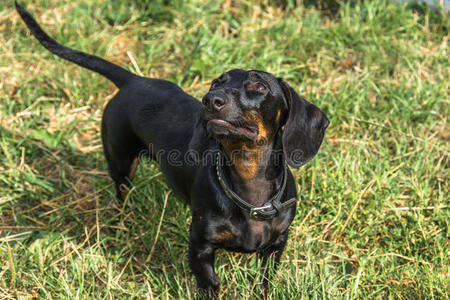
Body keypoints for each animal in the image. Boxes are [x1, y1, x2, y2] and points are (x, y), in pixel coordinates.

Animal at [15, 1, 328, 292]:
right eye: (216, 82)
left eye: (260, 87)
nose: (210, 99)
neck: (248, 186)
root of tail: (134, 80)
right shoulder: (200, 246)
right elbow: (211, 284)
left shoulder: (275, 247)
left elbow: (264, 283)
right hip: (120, 161)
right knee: (121, 191)